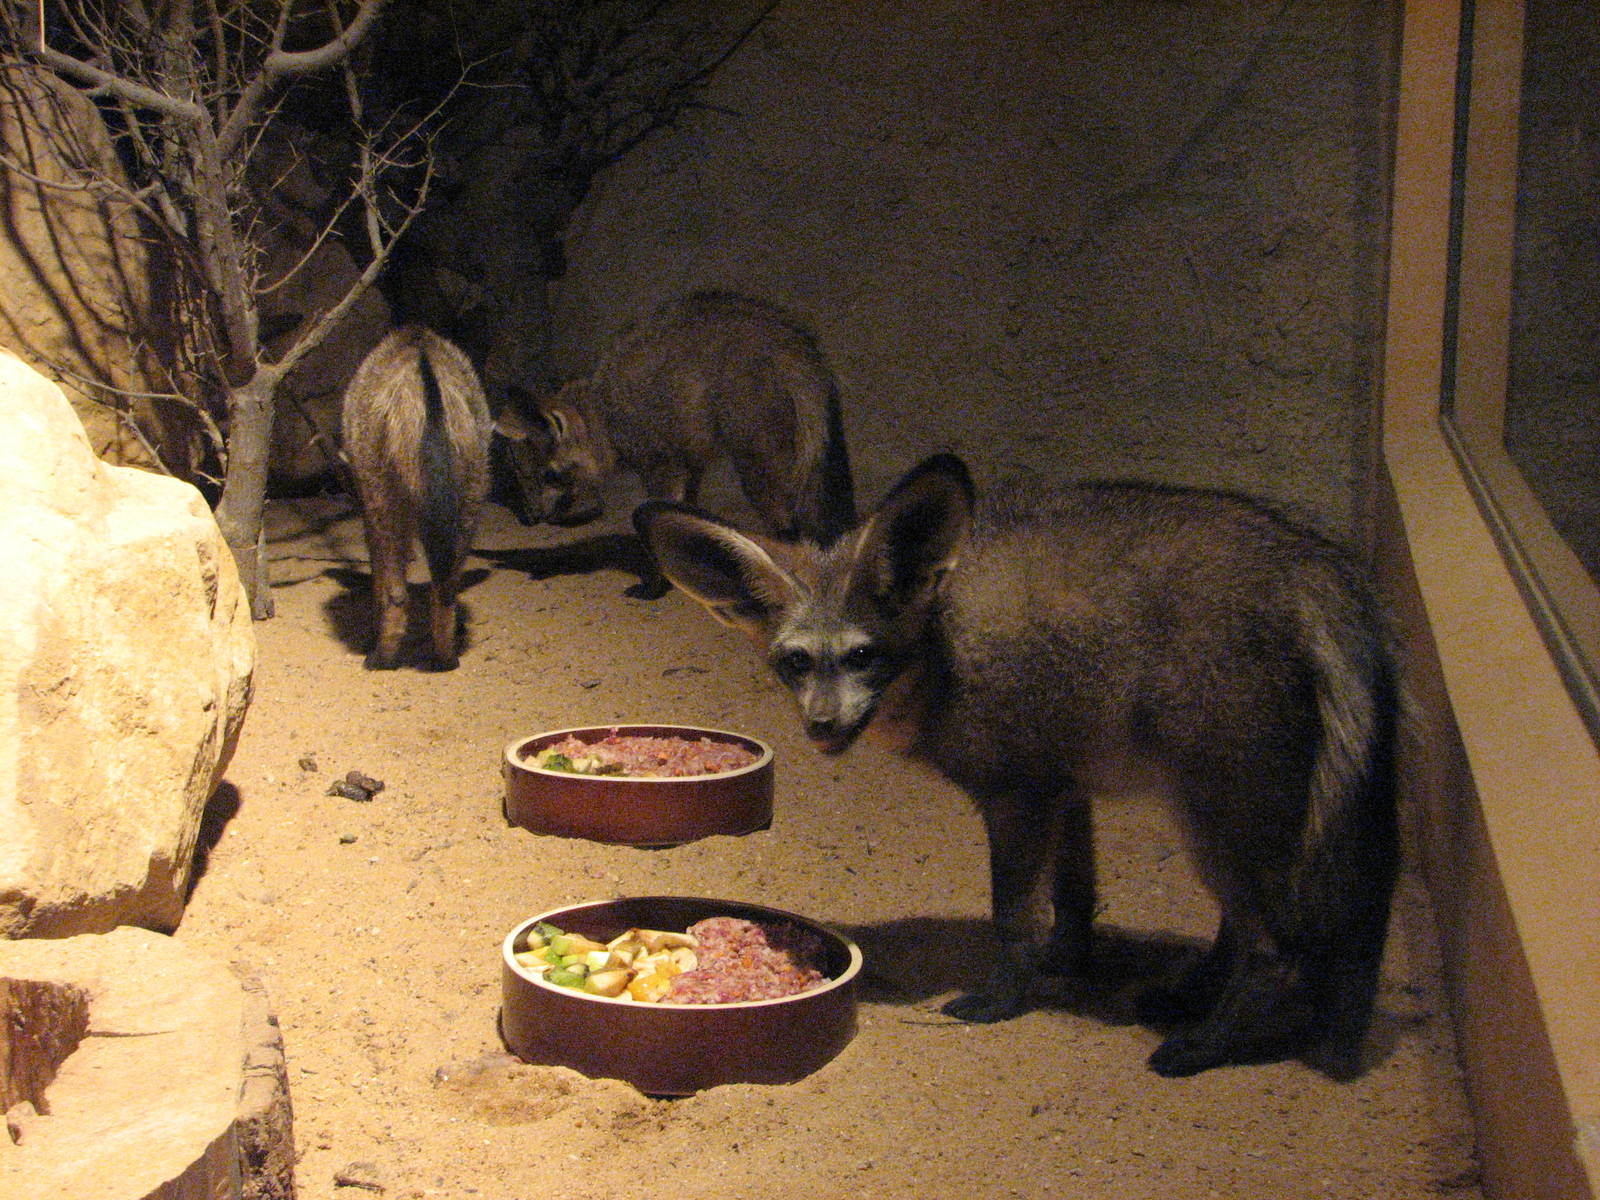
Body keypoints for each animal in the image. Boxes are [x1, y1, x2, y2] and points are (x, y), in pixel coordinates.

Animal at [341, 325, 491, 671]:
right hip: (472, 492)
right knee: (446, 588)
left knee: (397, 592)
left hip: (384, 494)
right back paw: (445, 658)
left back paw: (381, 658)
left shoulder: (370, 503)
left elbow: (379, 577)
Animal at [493, 290, 856, 558]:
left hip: (756, 451)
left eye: (549, 476)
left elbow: (654, 515)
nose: (532, 518)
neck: (602, 413)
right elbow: (685, 511)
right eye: (523, 477)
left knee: (784, 513)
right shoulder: (689, 458)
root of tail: (787, 340)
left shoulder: (661, 463)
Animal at [635, 452, 1400, 1078]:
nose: (821, 727)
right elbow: (1072, 897)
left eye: (862, 657)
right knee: (1243, 929)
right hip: (1218, 826)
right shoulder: (1064, 788)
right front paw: (1062, 962)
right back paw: (1189, 995)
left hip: (1218, 820)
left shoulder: (1016, 797)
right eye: (794, 663)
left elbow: (1011, 912)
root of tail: (1304, 559)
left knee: (1277, 949)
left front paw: (1007, 996)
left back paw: (1204, 1044)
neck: (943, 652)